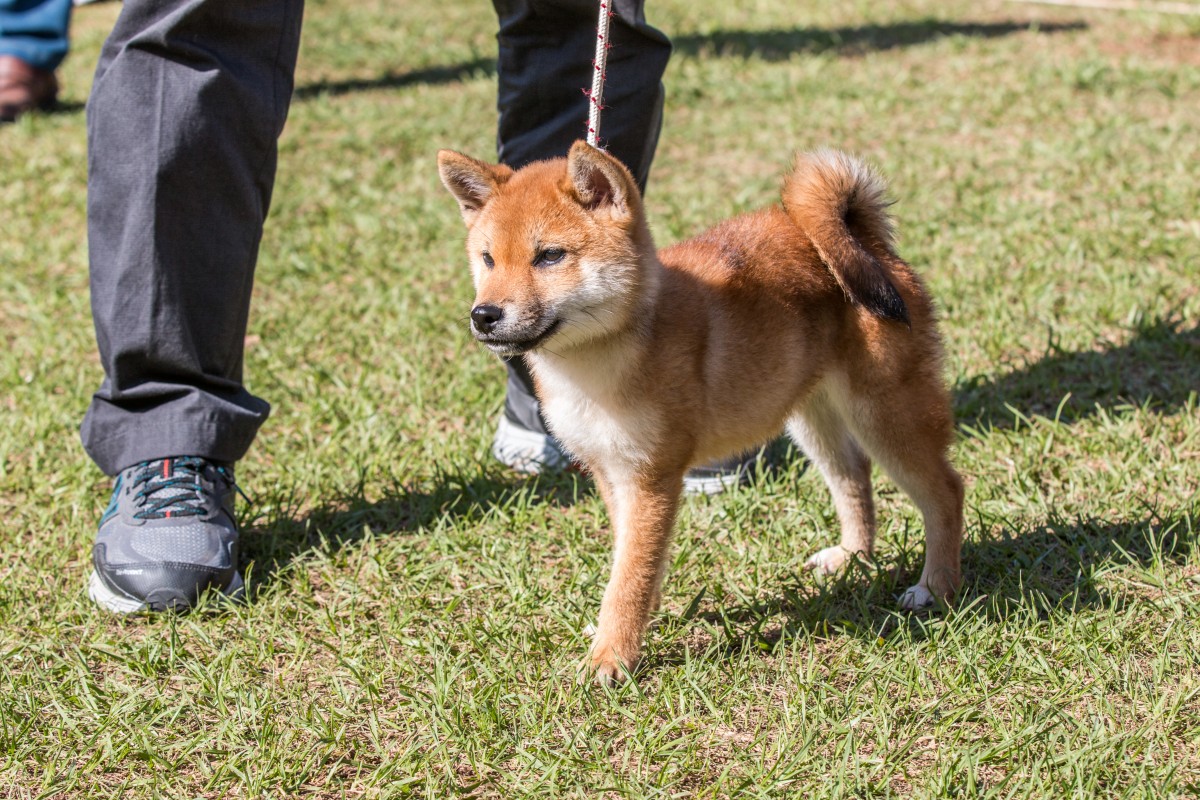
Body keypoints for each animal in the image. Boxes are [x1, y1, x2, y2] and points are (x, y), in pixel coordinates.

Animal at [436, 140, 960, 686]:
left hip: (885, 415)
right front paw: (629, 624)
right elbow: (631, 560)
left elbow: (629, 574)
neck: (593, 367)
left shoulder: (652, 477)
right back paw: (853, 557)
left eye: (550, 256)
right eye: (488, 258)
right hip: (811, 417)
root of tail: (864, 240)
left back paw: (935, 588)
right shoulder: (608, 471)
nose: (484, 315)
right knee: (854, 477)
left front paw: (612, 656)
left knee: (946, 491)